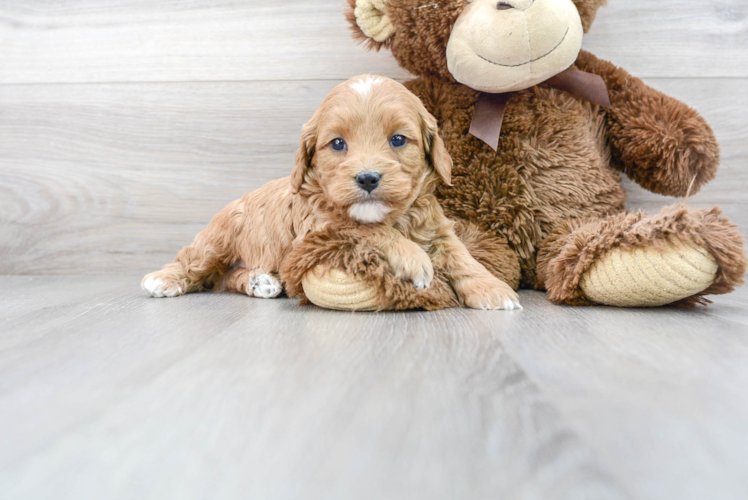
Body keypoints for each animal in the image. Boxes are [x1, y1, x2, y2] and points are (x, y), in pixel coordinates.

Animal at [143, 74, 524, 310]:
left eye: (398, 139)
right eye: (338, 143)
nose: (368, 178)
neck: (394, 218)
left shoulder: (435, 227)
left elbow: (462, 256)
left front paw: (491, 288)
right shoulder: (318, 228)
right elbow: (365, 229)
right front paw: (412, 257)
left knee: (228, 278)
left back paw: (259, 282)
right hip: (219, 236)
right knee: (193, 261)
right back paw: (163, 279)